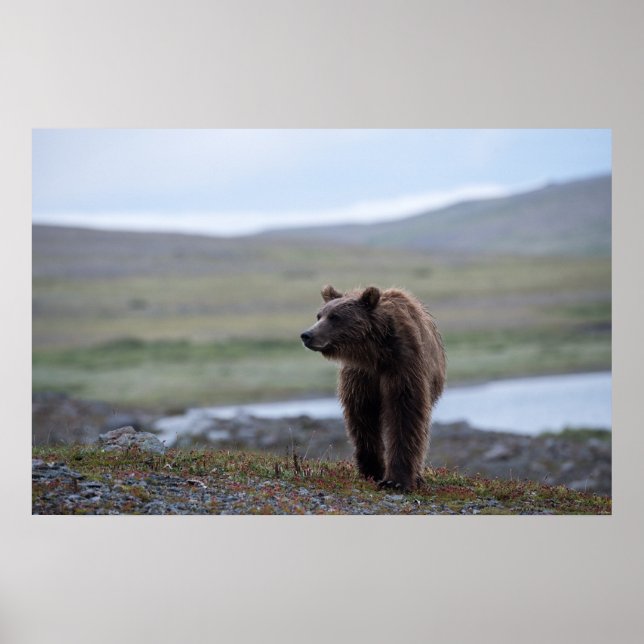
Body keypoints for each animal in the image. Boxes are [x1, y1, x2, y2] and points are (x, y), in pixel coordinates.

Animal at [300, 285, 446, 491]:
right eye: (319, 315)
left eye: (335, 317)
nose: (307, 335)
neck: (374, 353)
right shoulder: (361, 376)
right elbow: (362, 417)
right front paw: (372, 470)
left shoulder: (403, 366)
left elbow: (404, 415)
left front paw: (396, 480)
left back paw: (417, 477)